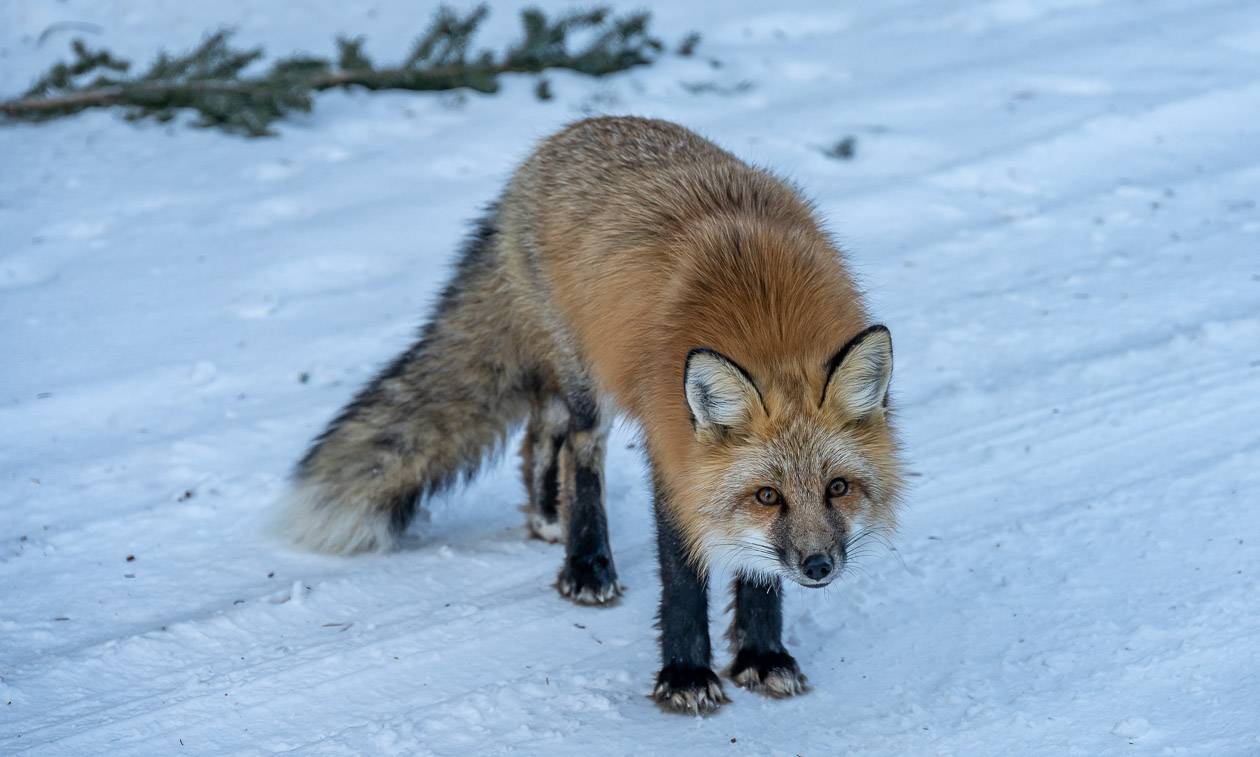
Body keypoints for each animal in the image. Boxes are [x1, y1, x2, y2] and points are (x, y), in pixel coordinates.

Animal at [279, 115, 902, 710]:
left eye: (838, 488)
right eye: (768, 496)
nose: (818, 567)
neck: (767, 330)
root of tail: (561, 139)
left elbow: (758, 568)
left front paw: (763, 658)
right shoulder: (675, 456)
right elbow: (683, 579)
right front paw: (686, 676)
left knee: (538, 434)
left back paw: (545, 516)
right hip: (587, 382)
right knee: (577, 452)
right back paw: (585, 563)